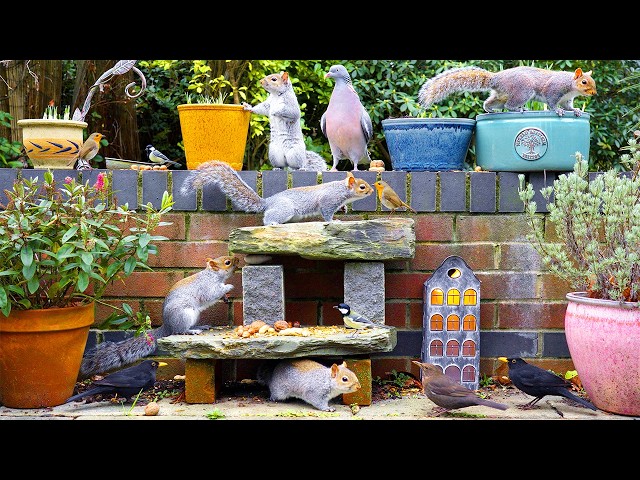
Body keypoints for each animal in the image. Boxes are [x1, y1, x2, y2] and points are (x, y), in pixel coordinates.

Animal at [79, 255, 239, 377]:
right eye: (227, 262)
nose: (237, 259)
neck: (212, 275)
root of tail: (167, 325)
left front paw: (226, 296)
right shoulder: (206, 287)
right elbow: (211, 294)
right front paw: (229, 287)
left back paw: (200, 326)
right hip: (184, 314)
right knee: (179, 330)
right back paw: (191, 330)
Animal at [180, 160, 374, 226]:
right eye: (362, 187)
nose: (372, 191)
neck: (341, 189)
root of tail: (268, 202)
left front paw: (344, 210)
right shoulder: (328, 200)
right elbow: (326, 213)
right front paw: (335, 221)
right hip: (285, 209)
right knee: (267, 218)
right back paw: (272, 223)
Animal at [418, 66, 597, 117]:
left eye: (593, 82)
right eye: (584, 81)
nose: (594, 93)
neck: (571, 88)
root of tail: (496, 78)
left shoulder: (566, 99)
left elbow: (569, 106)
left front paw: (576, 110)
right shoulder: (554, 90)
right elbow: (552, 103)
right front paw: (558, 111)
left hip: (501, 96)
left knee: (491, 102)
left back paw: (489, 109)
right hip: (523, 91)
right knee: (509, 105)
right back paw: (519, 109)